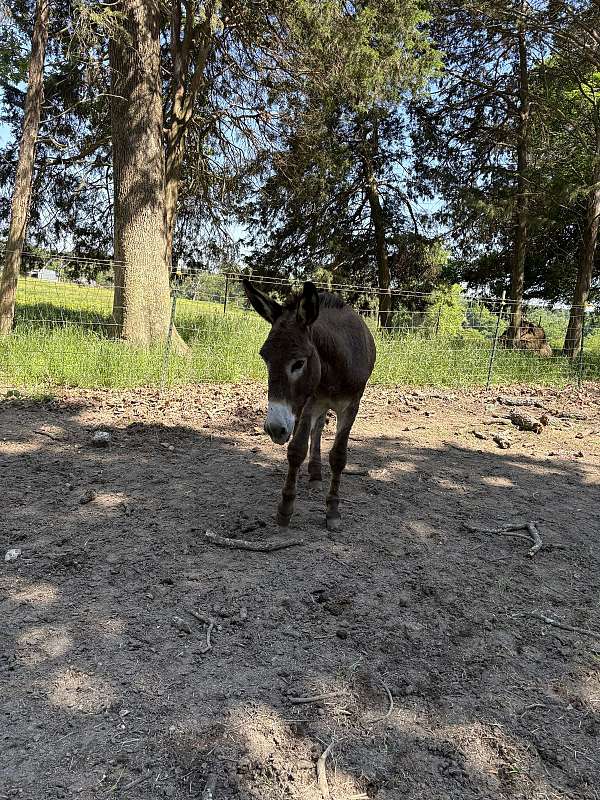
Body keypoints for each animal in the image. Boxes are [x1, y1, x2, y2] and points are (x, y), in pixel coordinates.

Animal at [243, 279, 376, 530]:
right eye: (265, 358)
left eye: (299, 363)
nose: (274, 429)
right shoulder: (308, 403)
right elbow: (297, 450)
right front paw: (285, 508)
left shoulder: (352, 406)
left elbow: (339, 457)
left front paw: (332, 510)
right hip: (313, 404)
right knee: (316, 430)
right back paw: (314, 474)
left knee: (319, 429)